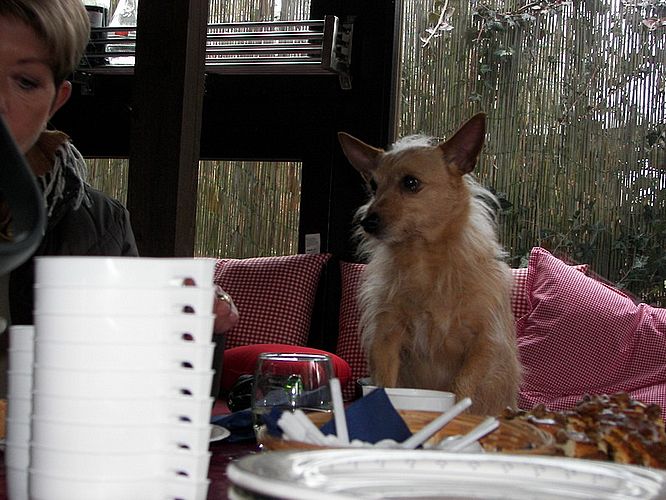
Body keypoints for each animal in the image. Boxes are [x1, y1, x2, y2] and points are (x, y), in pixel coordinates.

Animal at [338, 113, 521, 415]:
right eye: (374, 186)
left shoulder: (484, 343)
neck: (424, 259)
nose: (367, 222)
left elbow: (461, 387)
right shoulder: (385, 338)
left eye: (410, 183)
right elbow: (385, 382)